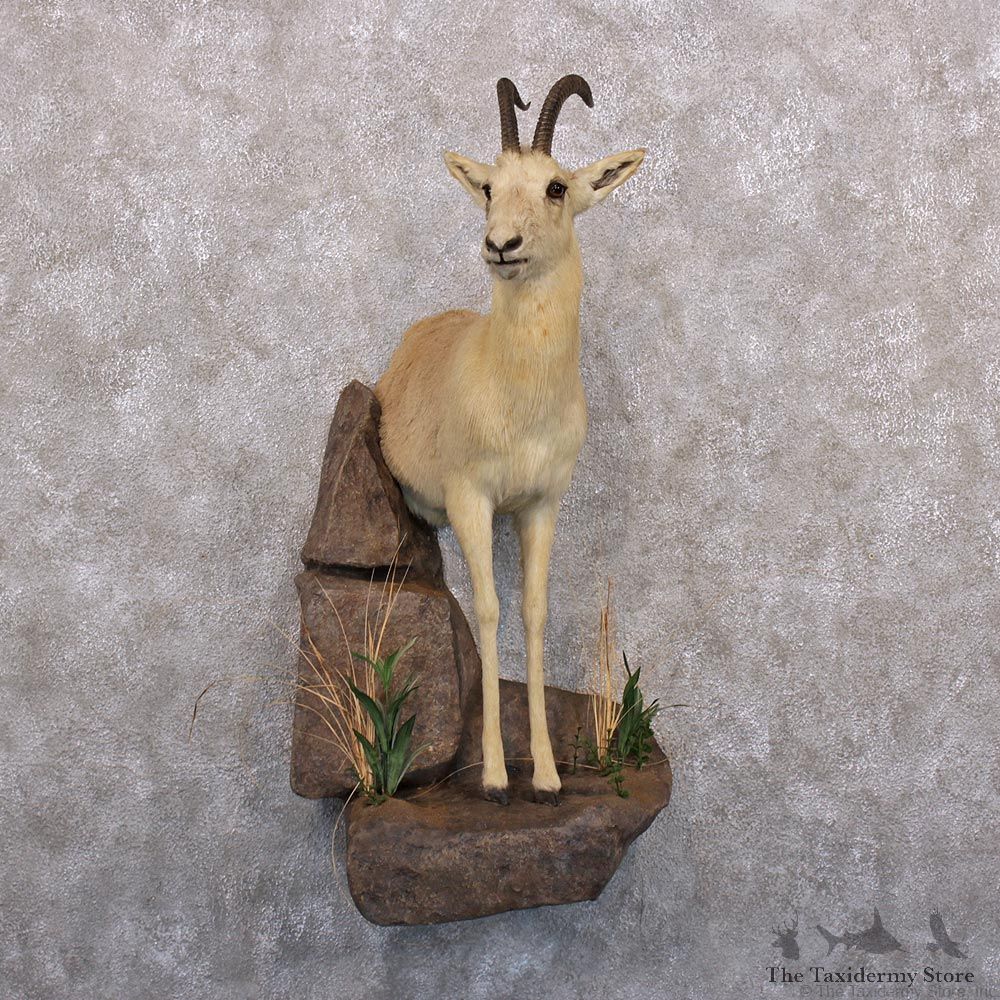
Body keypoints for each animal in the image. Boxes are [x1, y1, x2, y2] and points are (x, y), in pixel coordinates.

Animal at [376, 75, 644, 805]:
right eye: (491, 186)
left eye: (555, 186)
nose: (501, 244)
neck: (517, 392)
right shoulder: (472, 500)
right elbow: (490, 611)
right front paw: (496, 777)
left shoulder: (541, 504)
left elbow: (534, 610)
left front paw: (547, 776)